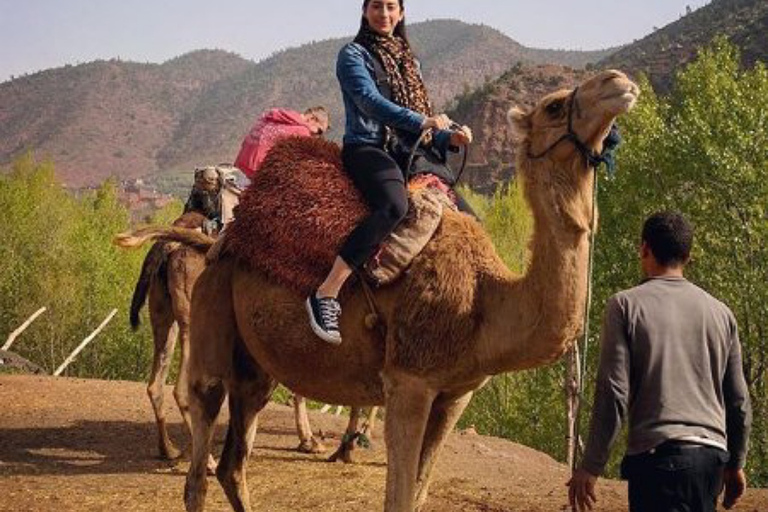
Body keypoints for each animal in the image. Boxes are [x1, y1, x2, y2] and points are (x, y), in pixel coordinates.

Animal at [129, 69, 640, 512]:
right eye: (555, 105)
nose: (619, 83)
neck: (485, 301)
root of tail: (214, 244)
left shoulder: (456, 393)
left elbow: (418, 492)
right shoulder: (409, 380)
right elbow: (398, 498)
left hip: (255, 363)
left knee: (234, 462)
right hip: (211, 308)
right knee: (201, 432)